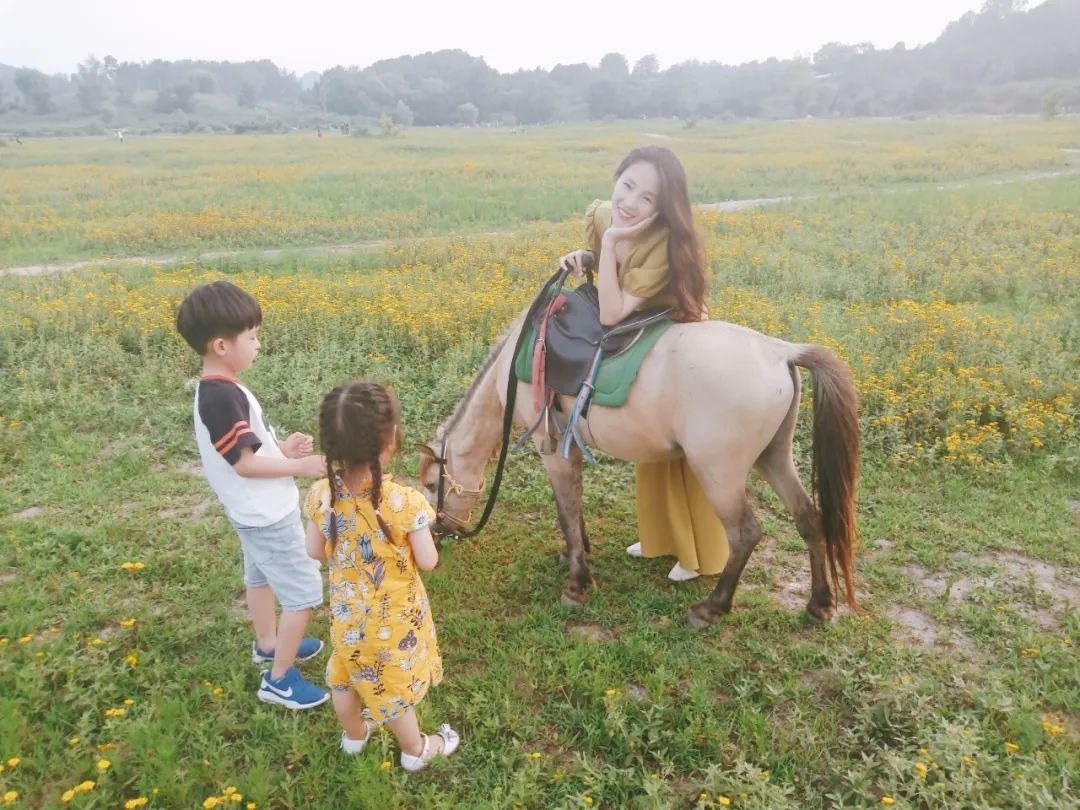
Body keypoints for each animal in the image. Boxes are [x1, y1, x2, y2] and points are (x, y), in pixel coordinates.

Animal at [418, 314, 860, 627]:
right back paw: (820, 604)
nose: (437, 535)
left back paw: (712, 608)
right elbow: (575, 507)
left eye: (430, 482)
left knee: (745, 534)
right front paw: (577, 552)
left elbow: (564, 509)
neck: (512, 370)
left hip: (720, 473)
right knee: (809, 519)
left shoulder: (552, 451)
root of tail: (780, 352)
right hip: (775, 457)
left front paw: (577, 584)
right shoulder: (572, 449)